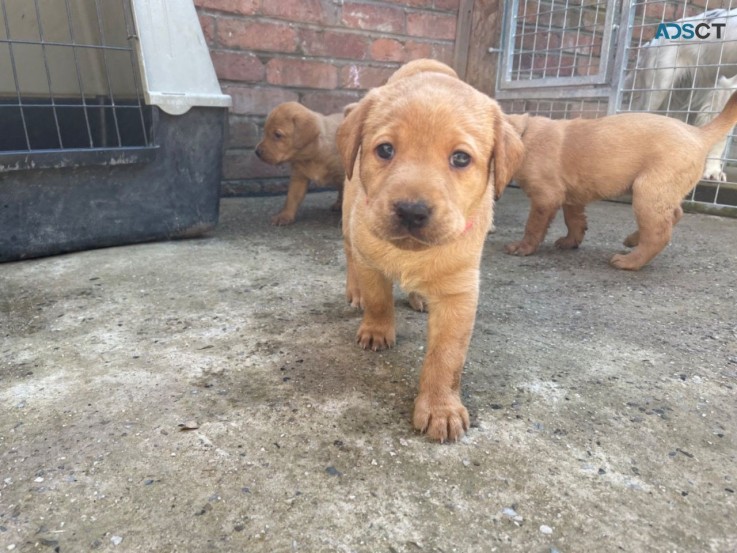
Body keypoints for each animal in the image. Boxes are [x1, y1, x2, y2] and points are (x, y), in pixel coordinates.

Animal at [338, 59, 524, 440]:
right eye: (385, 150)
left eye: (460, 158)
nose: (411, 211)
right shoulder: (370, 259)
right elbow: (379, 299)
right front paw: (377, 329)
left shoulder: (459, 292)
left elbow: (446, 357)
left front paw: (441, 407)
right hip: (349, 221)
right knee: (350, 256)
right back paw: (355, 292)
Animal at [506, 89, 737, 270]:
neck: (524, 136)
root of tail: (698, 133)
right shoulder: (572, 195)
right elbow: (574, 220)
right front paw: (571, 241)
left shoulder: (545, 197)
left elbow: (533, 225)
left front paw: (523, 247)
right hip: (659, 191)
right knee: (673, 215)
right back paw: (634, 239)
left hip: (646, 191)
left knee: (659, 234)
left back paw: (630, 261)